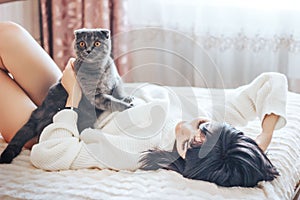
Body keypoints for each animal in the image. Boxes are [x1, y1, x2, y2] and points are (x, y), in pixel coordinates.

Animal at [0, 28, 134, 163]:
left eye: (97, 43)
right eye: (82, 43)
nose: (88, 50)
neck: (99, 69)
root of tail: (39, 112)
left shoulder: (116, 80)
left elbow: (118, 91)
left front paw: (127, 98)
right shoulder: (95, 95)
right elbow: (110, 101)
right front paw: (126, 105)